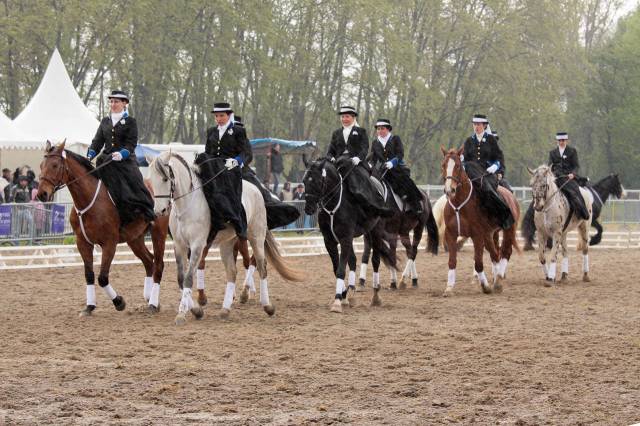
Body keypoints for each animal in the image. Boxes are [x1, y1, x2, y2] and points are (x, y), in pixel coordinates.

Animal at [37, 142, 168, 316]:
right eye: (41, 165)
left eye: (55, 165)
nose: (41, 194)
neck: (88, 200)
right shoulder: (83, 243)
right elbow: (89, 275)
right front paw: (89, 307)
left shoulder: (109, 244)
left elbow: (102, 278)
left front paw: (119, 302)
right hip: (135, 238)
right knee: (149, 261)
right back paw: (149, 298)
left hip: (158, 232)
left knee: (158, 264)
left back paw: (153, 303)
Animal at [148, 151, 302, 324]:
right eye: (151, 180)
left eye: (165, 179)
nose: (159, 211)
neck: (187, 205)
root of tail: (256, 190)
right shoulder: (179, 245)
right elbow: (181, 278)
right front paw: (196, 310)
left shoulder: (197, 245)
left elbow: (188, 278)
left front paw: (182, 314)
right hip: (227, 243)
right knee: (232, 272)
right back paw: (225, 309)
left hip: (256, 236)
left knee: (261, 266)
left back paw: (267, 306)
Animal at [302, 156, 398, 312]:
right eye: (304, 180)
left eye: (317, 181)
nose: (309, 209)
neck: (334, 203)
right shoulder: (330, 241)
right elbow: (337, 268)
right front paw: (343, 295)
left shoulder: (345, 238)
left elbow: (341, 269)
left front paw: (337, 301)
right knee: (353, 260)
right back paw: (351, 292)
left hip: (375, 232)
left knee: (375, 261)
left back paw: (375, 296)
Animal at [360, 162, 440, 290]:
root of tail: (424, 194)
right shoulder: (370, 233)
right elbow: (367, 254)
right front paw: (362, 281)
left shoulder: (390, 232)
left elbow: (391, 254)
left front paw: (393, 282)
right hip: (404, 231)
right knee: (409, 250)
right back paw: (413, 279)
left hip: (419, 227)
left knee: (413, 251)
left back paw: (403, 280)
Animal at [440, 146, 520, 296]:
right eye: (443, 165)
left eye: (458, 166)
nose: (449, 190)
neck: (460, 203)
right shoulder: (451, 234)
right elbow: (452, 261)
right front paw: (449, 287)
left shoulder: (477, 235)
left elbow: (478, 263)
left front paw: (485, 286)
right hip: (490, 234)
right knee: (495, 254)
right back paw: (496, 277)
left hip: (508, 230)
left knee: (505, 252)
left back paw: (498, 280)